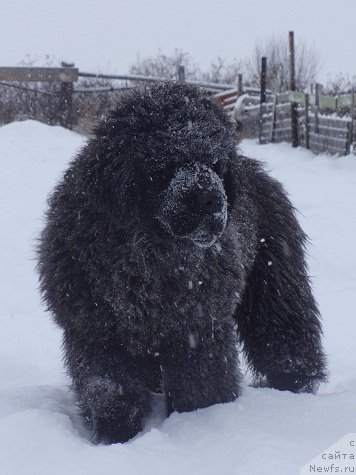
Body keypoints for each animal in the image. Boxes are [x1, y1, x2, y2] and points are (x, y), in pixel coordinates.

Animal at [37, 82, 326, 446]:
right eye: (168, 161)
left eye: (215, 164)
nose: (211, 199)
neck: (150, 257)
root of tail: (255, 167)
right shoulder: (96, 329)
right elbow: (110, 390)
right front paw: (116, 435)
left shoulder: (197, 330)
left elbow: (200, 387)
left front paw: (201, 424)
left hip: (275, 277)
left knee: (286, 328)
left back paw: (296, 384)